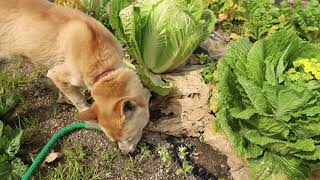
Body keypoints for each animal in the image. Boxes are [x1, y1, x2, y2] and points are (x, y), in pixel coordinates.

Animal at [0, 0, 151, 155]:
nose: (125, 153)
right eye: (114, 140)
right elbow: (78, 99)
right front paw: (86, 114)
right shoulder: (56, 75)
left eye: (130, 137)